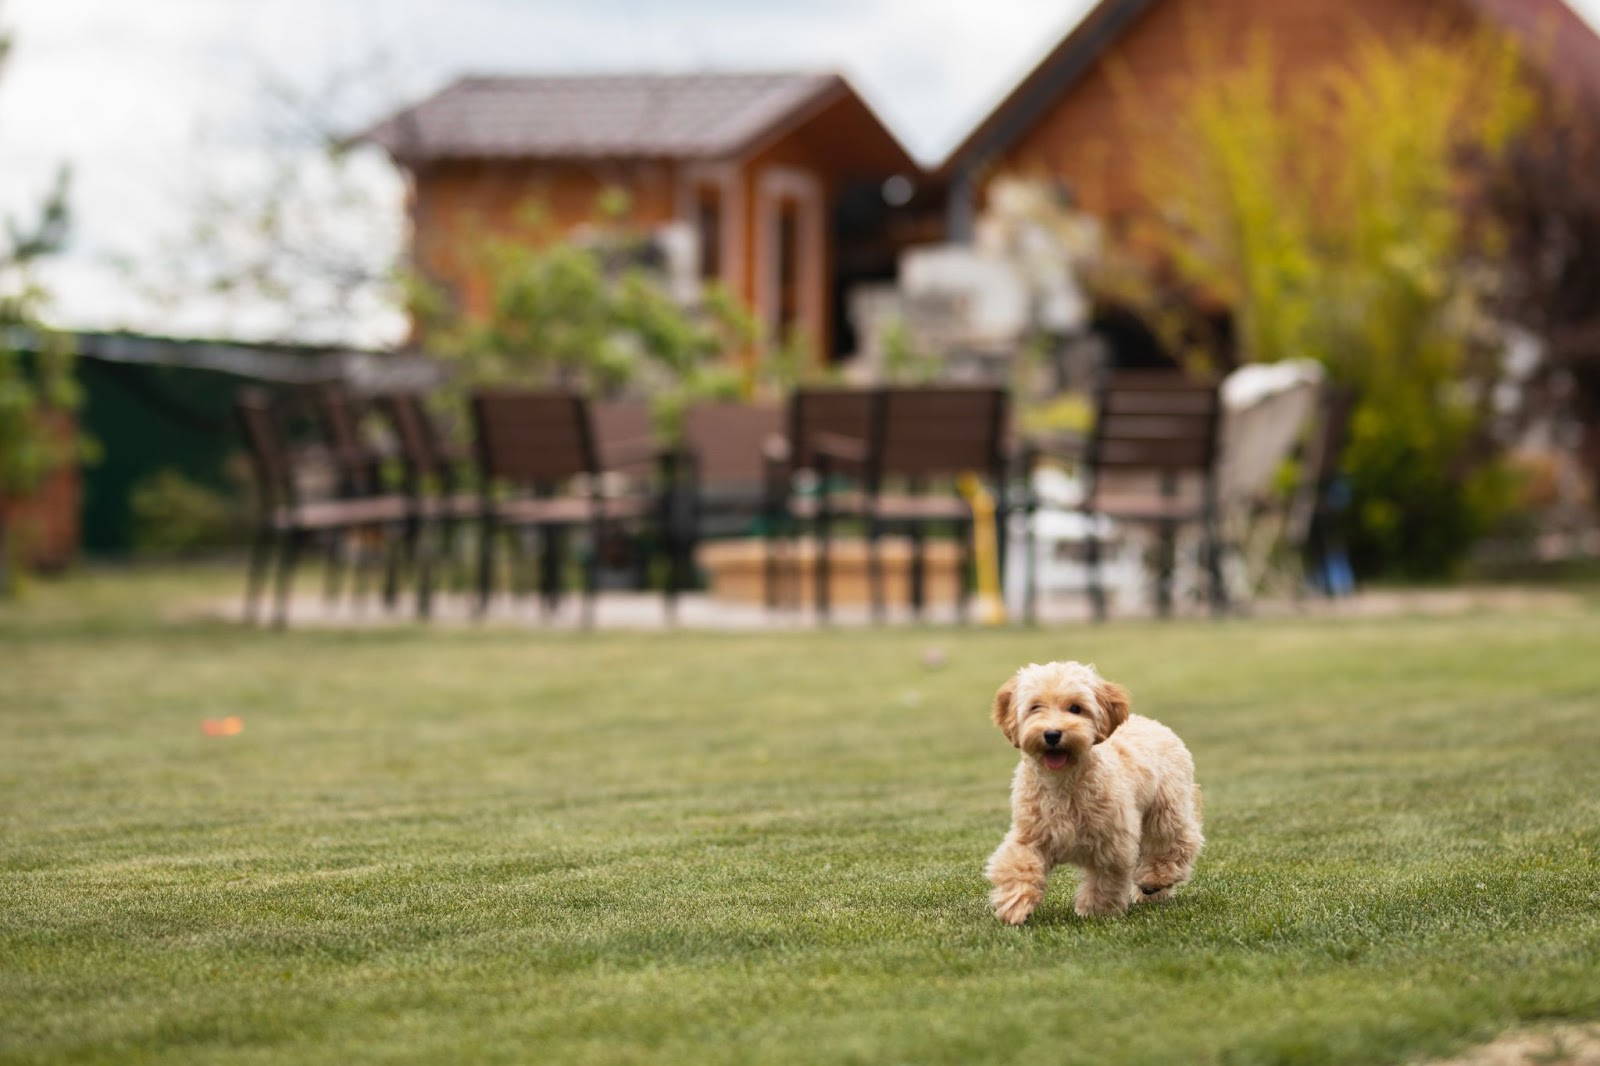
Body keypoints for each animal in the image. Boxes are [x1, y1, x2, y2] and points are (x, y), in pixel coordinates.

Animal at [985, 656, 1203, 921]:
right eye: (1035, 707)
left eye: (1076, 708)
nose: (1052, 734)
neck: (1063, 780)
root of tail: (1151, 722)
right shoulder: (1032, 834)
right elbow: (1018, 864)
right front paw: (1014, 904)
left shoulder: (1112, 843)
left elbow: (1104, 881)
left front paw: (1096, 912)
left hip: (1166, 808)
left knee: (1177, 841)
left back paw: (1155, 880)